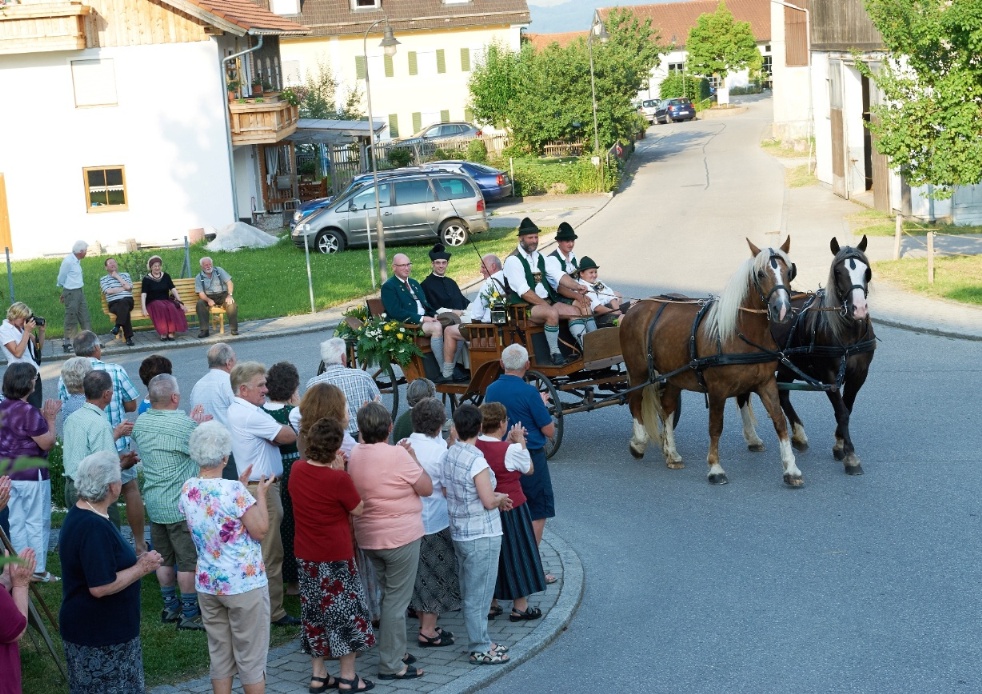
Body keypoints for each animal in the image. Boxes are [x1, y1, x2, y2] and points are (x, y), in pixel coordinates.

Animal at [620, 237, 802, 486]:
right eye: (760, 273)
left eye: (789, 272)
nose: (782, 309)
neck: (740, 332)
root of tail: (636, 306)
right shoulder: (717, 389)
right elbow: (716, 427)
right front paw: (715, 468)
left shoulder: (766, 384)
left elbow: (779, 421)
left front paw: (791, 468)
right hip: (638, 371)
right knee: (635, 401)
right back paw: (638, 442)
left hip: (674, 376)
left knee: (666, 407)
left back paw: (672, 453)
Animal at [735, 236, 875, 475]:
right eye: (838, 272)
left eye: (867, 271)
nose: (859, 309)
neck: (848, 334)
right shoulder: (829, 376)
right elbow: (842, 412)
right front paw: (850, 456)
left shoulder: (859, 375)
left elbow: (847, 408)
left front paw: (839, 444)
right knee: (744, 395)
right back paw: (754, 439)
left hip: (788, 364)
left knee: (782, 394)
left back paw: (798, 435)